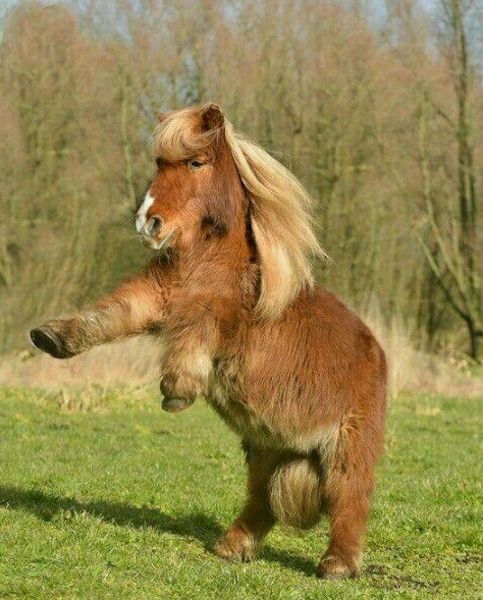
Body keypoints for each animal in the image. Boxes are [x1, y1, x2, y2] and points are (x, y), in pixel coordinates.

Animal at [30, 104, 388, 580]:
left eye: (195, 163)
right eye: (158, 163)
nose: (148, 223)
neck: (209, 261)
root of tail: (377, 351)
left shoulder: (220, 317)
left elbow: (197, 330)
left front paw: (177, 390)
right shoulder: (153, 296)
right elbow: (110, 315)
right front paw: (52, 336)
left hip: (347, 446)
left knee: (350, 500)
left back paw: (337, 565)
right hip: (267, 447)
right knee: (262, 502)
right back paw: (231, 547)